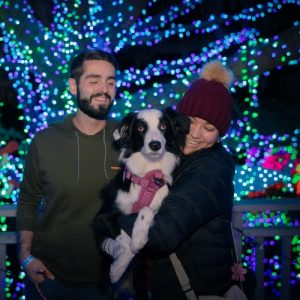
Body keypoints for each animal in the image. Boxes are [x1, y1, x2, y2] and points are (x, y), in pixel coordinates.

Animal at [94, 106, 189, 282]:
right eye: (140, 128)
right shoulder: (101, 218)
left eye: (164, 126)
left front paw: (138, 236)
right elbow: (124, 239)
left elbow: (147, 209)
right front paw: (118, 269)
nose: (155, 145)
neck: (147, 175)